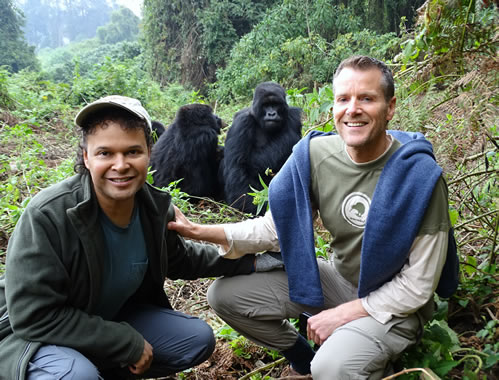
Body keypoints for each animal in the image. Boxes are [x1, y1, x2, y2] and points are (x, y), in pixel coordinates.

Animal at [222, 81, 300, 215]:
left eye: (275, 105)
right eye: (265, 105)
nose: (272, 114)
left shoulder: (294, 116)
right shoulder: (241, 123)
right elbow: (237, 170)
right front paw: (265, 205)